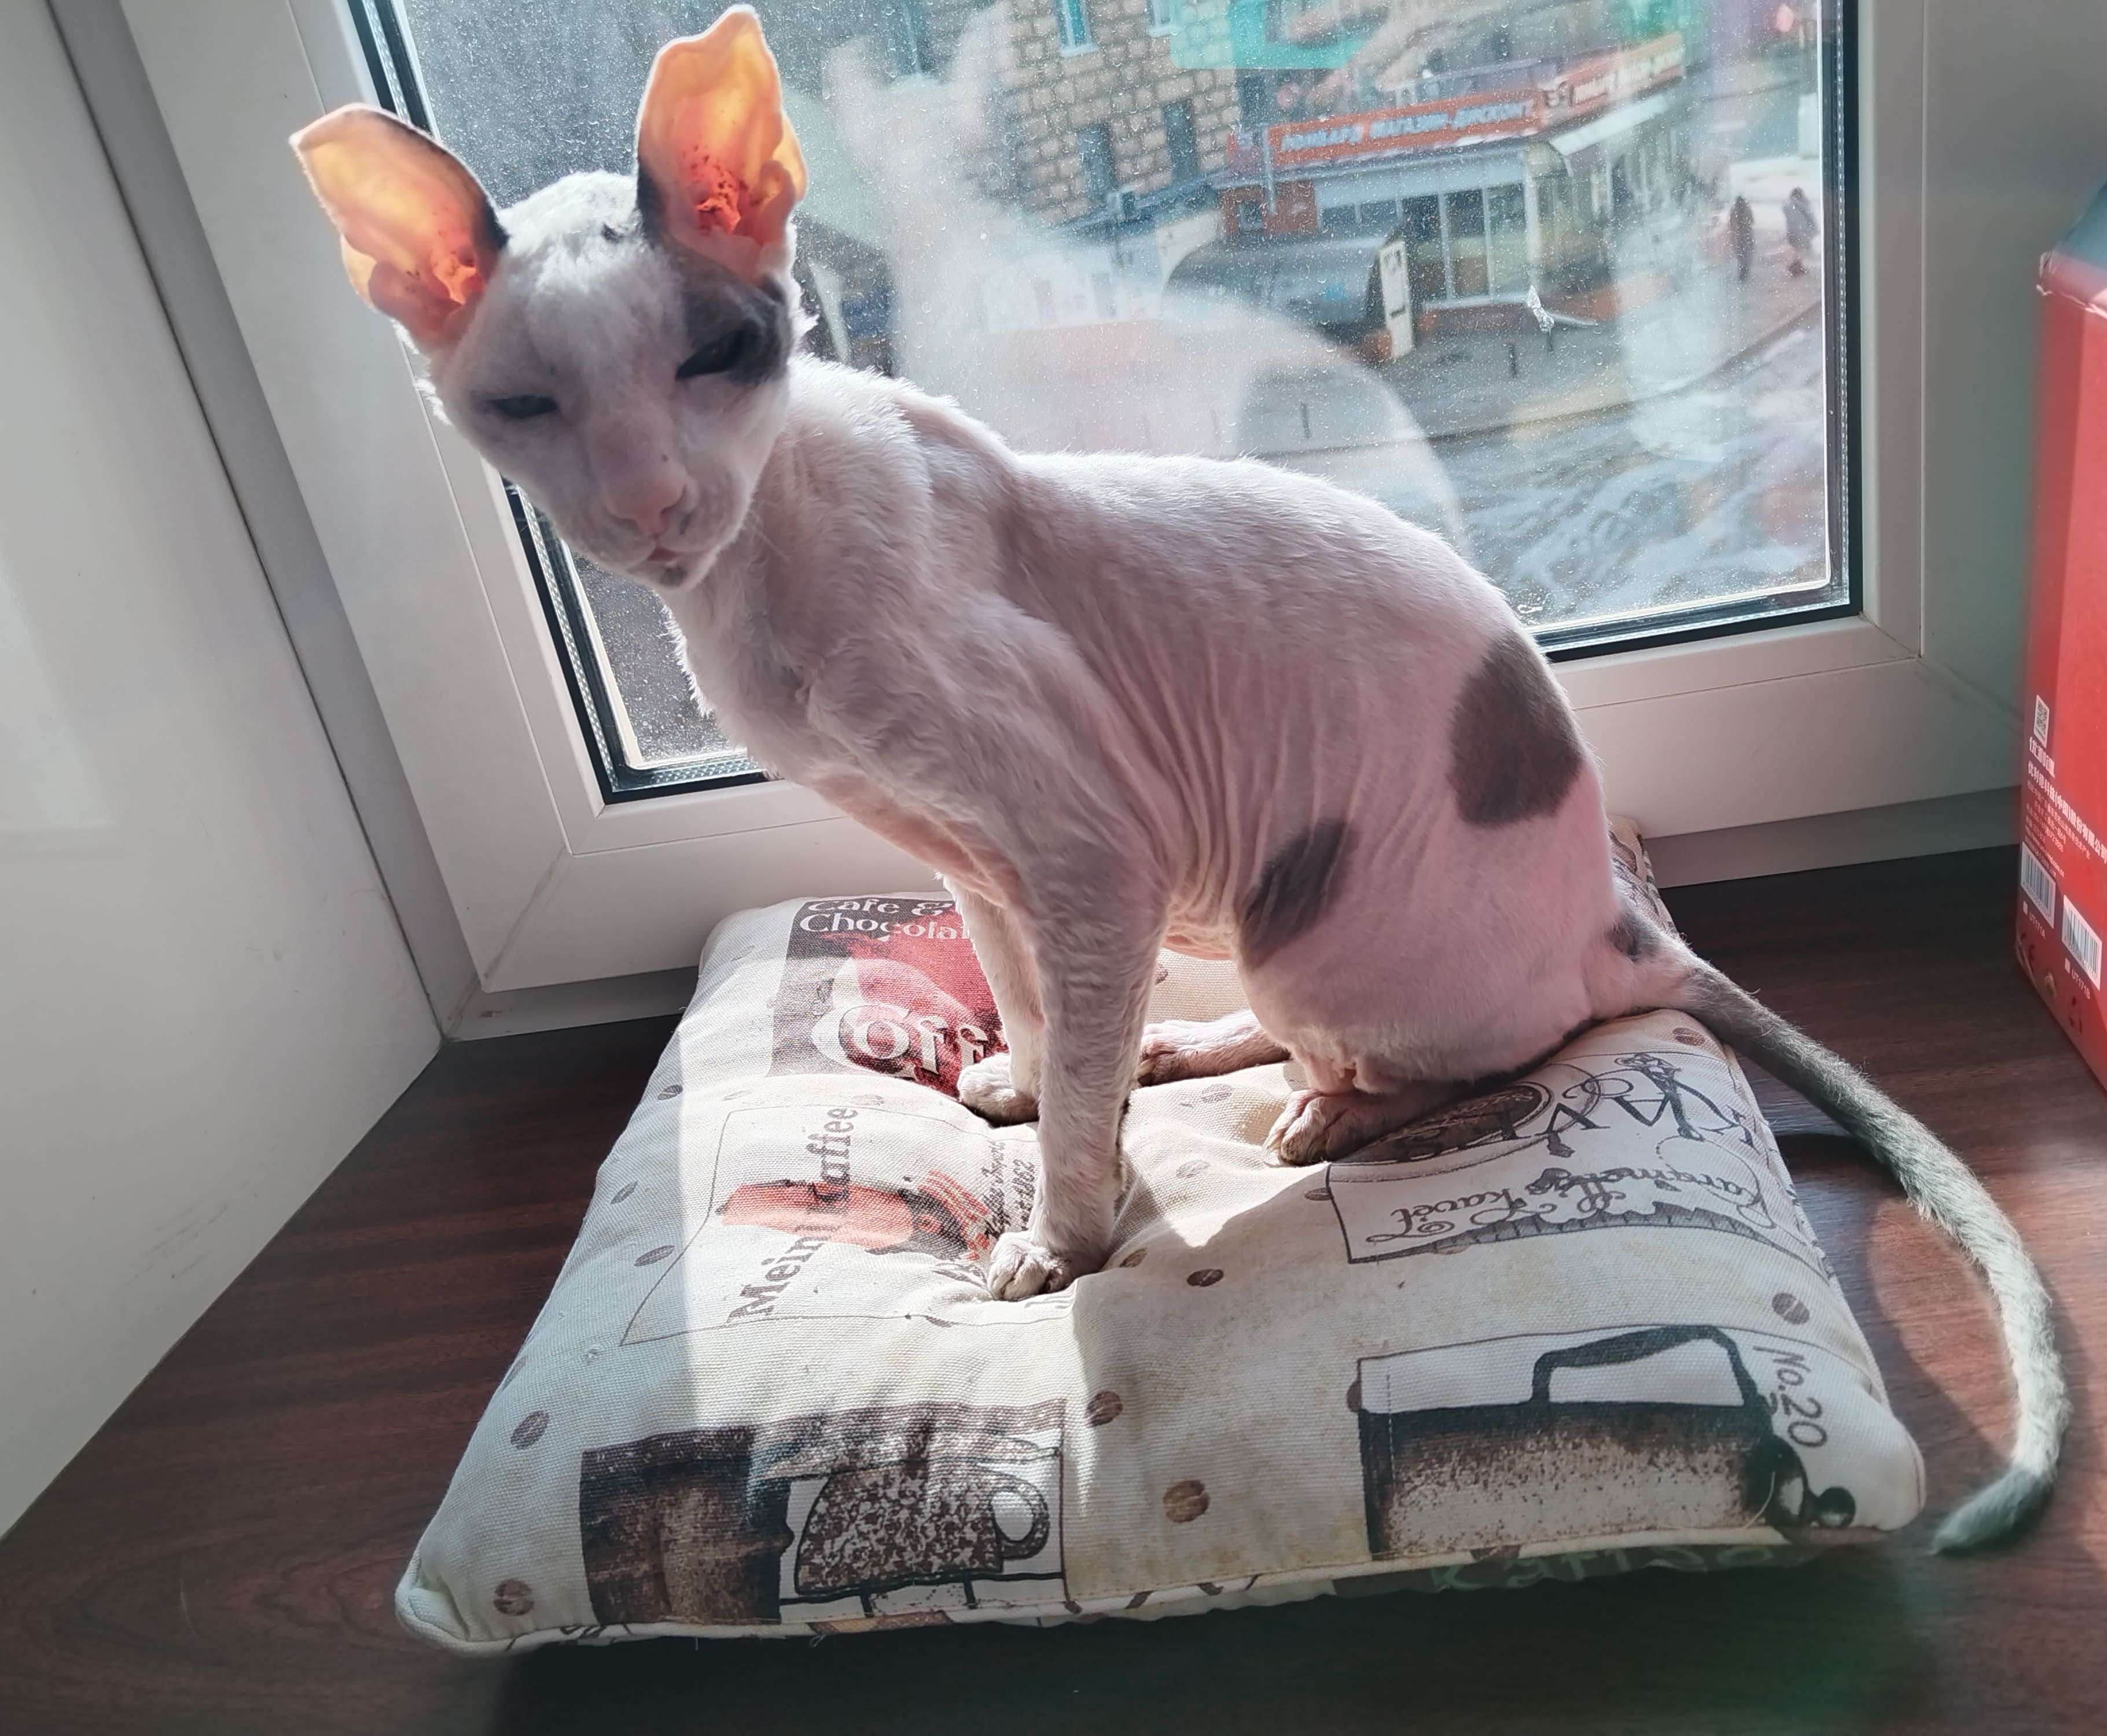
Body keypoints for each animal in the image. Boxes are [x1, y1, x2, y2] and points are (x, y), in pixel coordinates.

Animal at [291, 5, 2060, 1549]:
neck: (753, 589)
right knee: (1253, 1026)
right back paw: (1179, 1045)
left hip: (1313, 930)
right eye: (526, 406)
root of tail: (1616, 916)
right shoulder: (983, 866)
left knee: (1482, 1053)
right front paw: (1025, 1082)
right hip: (1240, 922)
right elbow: (1040, 1023)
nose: (654, 508)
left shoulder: (1086, 856)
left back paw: (1323, 1118)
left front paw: (1057, 1241)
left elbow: (1080, 1105)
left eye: (710, 357)